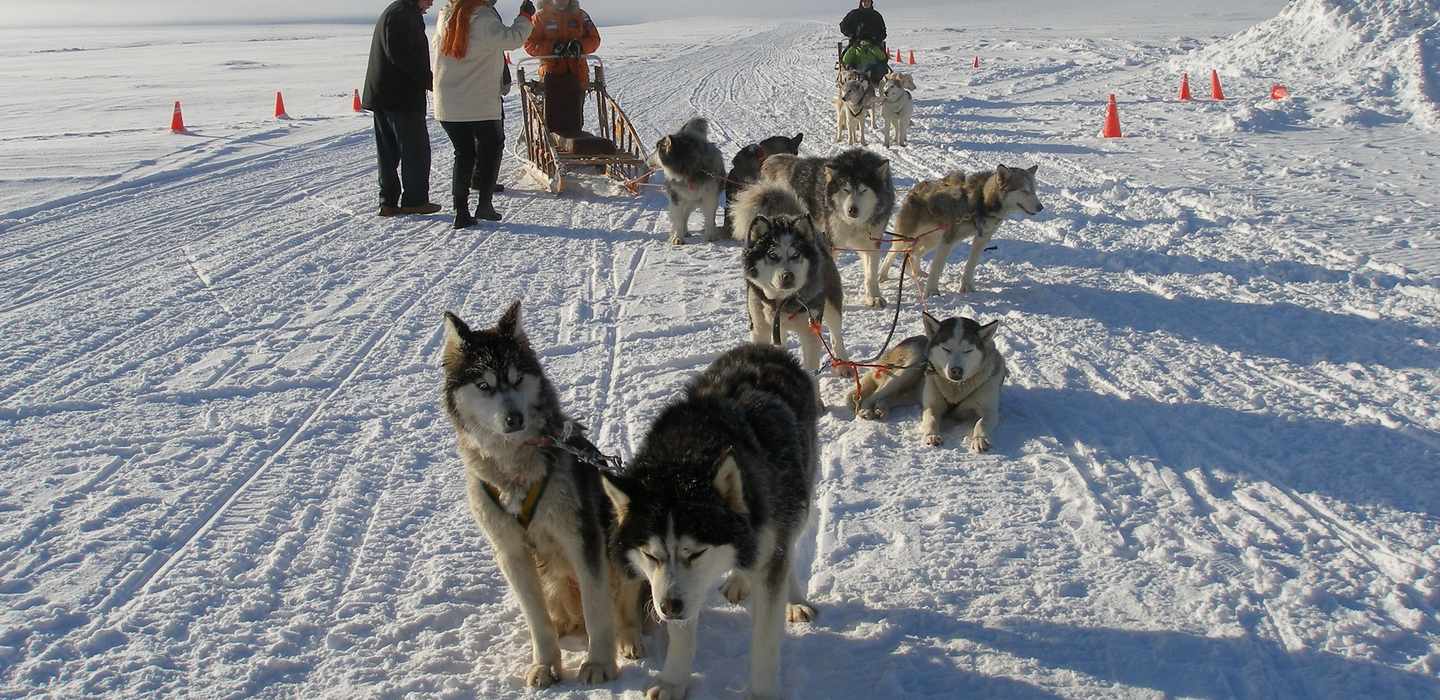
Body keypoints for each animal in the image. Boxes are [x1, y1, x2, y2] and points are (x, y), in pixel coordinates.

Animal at [434, 302, 645, 688]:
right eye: (484, 385)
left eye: (517, 379)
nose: (514, 418)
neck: (514, 473)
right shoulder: (511, 552)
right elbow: (537, 619)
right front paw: (546, 663)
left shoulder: (582, 539)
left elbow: (598, 611)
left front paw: (598, 662)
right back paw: (563, 626)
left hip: (619, 545)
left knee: (624, 607)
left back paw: (628, 638)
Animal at [760, 149, 892, 308]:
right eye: (845, 189)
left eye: (863, 190)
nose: (852, 210)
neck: (854, 224)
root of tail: (798, 164)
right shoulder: (832, 242)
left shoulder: (871, 243)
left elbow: (871, 274)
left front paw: (873, 297)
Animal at [846, 312, 1008, 455]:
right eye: (946, 349)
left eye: (968, 350)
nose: (956, 371)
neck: (956, 387)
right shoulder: (932, 405)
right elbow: (931, 419)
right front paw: (931, 435)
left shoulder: (989, 411)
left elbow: (981, 423)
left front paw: (980, 439)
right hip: (910, 367)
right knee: (873, 395)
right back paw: (866, 410)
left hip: (911, 391)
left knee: (888, 398)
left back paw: (881, 408)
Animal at [875, 167, 1048, 298]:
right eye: (1024, 191)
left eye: (1034, 190)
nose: (1040, 207)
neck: (982, 202)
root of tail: (917, 187)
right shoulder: (948, 240)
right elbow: (937, 267)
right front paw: (932, 291)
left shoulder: (981, 239)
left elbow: (970, 265)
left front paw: (967, 287)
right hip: (911, 236)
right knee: (893, 252)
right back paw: (882, 275)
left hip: (931, 240)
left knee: (913, 253)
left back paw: (916, 271)